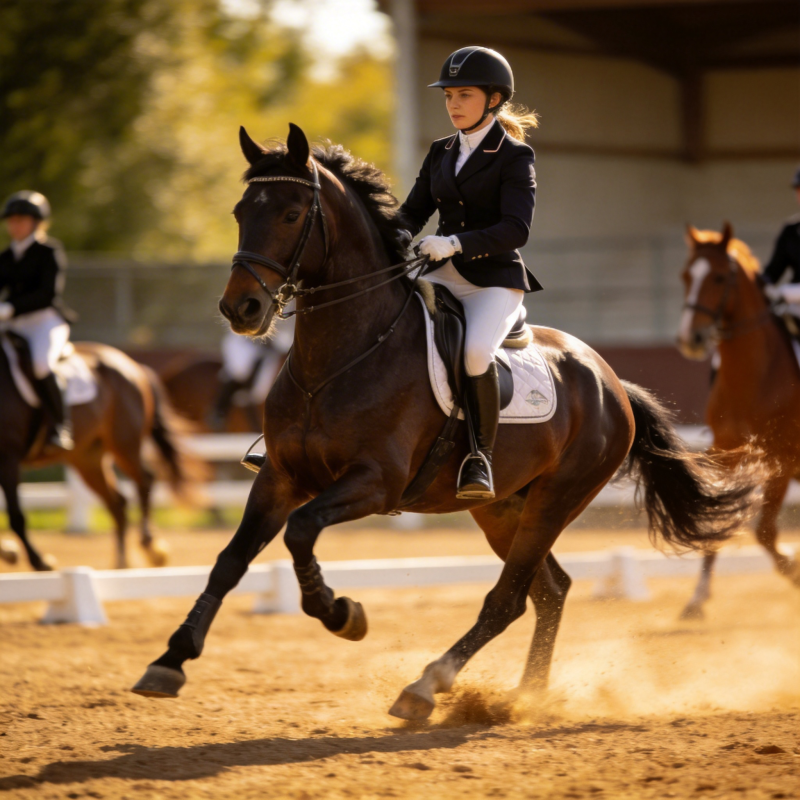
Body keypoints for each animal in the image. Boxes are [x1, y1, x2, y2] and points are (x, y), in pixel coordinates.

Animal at [0, 336, 202, 571]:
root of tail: (132, 365)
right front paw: (9, 552)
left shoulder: (8, 457)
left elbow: (16, 515)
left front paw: (39, 561)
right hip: (87, 458)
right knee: (118, 502)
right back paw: (121, 562)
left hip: (124, 444)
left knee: (144, 480)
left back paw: (150, 548)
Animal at [131, 124, 762, 720]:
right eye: (241, 213)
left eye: (290, 214)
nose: (241, 310)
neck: (340, 355)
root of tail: (610, 381)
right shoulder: (280, 476)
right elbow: (229, 561)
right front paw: (170, 660)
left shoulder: (374, 483)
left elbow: (301, 531)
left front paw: (342, 614)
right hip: (501, 506)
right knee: (549, 591)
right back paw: (524, 696)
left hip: (557, 498)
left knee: (508, 598)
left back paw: (426, 688)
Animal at [676, 223, 800, 618]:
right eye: (686, 276)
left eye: (718, 277)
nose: (691, 338)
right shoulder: (726, 453)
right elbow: (716, 521)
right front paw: (697, 598)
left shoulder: (781, 457)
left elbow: (764, 532)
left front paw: (795, 570)